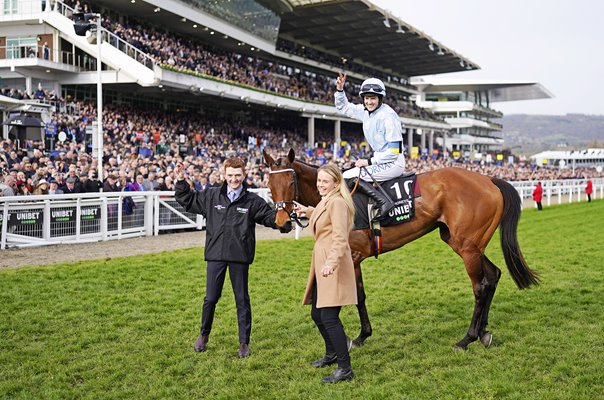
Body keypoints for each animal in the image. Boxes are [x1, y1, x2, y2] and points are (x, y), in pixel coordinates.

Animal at [264, 149, 536, 350]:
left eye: (290, 181)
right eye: (269, 183)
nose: (282, 222)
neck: (338, 196)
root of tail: (490, 180)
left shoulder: (352, 256)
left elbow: (357, 296)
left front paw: (360, 336)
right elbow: (358, 295)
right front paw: (362, 335)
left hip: (468, 246)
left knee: (480, 286)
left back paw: (466, 338)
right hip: (466, 243)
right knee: (493, 275)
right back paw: (483, 332)